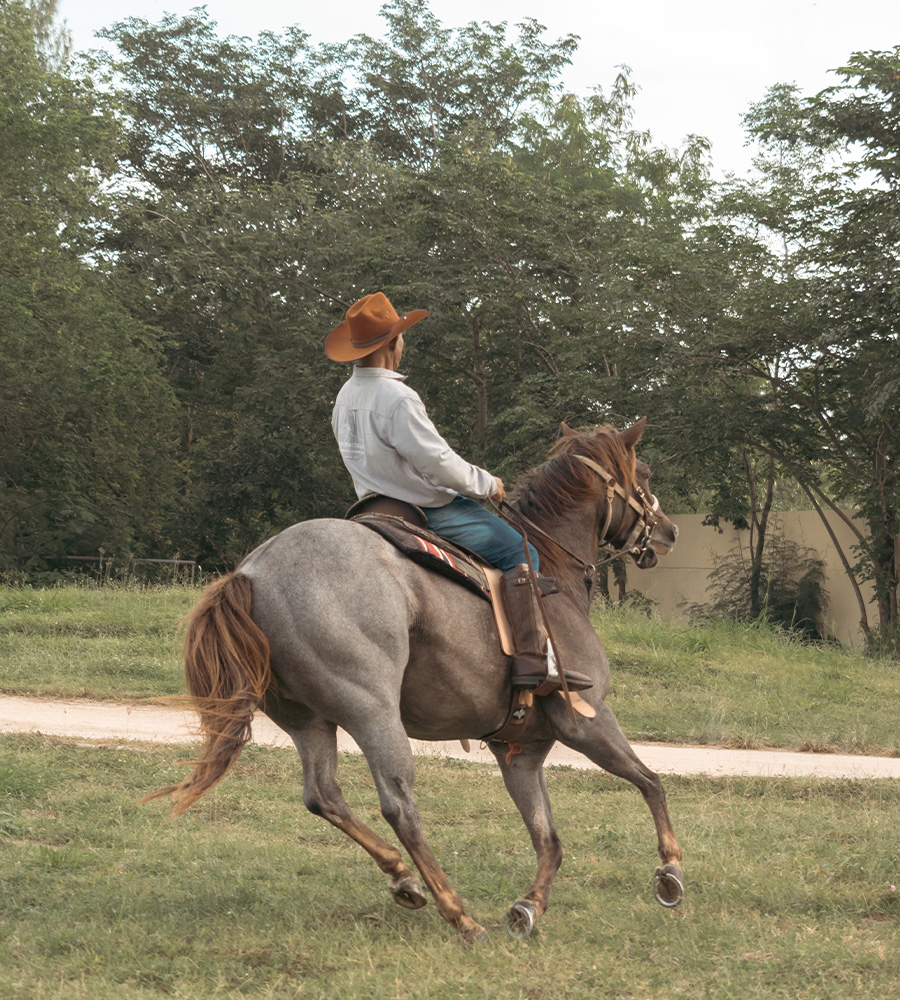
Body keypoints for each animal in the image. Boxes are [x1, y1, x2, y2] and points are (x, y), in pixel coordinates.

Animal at [147, 416, 683, 943]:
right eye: (646, 473)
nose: (669, 531)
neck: (555, 574)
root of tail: (254, 573)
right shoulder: (587, 721)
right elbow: (650, 782)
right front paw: (670, 872)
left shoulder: (521, 750)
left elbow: (547, 836)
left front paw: (529, 906)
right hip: (373, 712)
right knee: (399, 805)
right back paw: (459, 915)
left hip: (307, 720)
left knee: (322, 795)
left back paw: (404, 877)